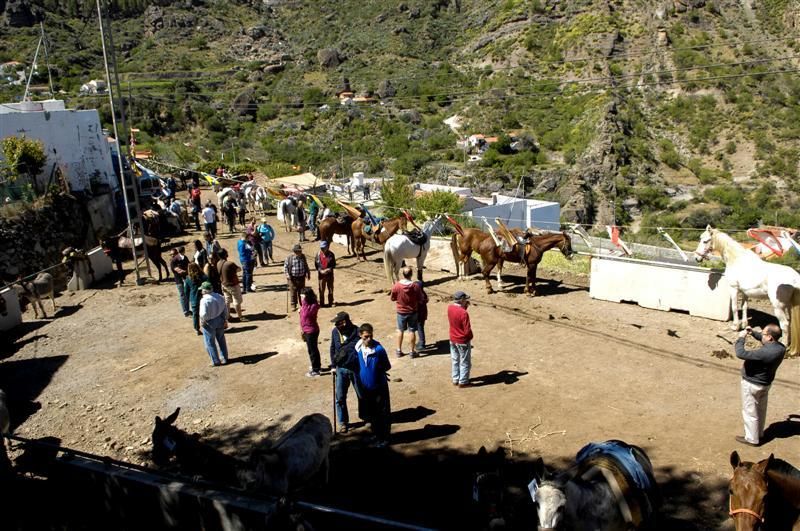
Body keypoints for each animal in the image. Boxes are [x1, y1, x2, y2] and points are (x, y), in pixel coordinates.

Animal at [692, 222, 800, 356]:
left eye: (705, 241)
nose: (697, 258)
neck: (737, 260)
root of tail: (795, 278)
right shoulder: (745, 291)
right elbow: (744, 307)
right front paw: (744, 324)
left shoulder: (734, 288)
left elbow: (734, 307)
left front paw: (735, 326)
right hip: (790, 306)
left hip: (778, 307)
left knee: (784, 324)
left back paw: (784, 345)